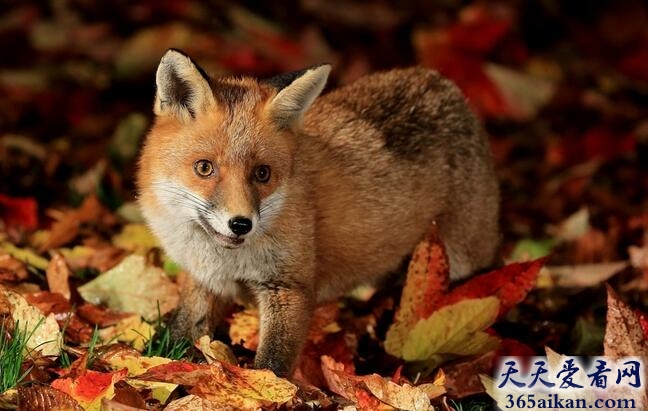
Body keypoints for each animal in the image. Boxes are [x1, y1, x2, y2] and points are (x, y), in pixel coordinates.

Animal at [137, 50, 502, 378]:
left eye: (262, 174)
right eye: (204, 168)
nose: (241, 224)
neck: (226, 259)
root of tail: (443, 84)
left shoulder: (289, 287)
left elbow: (273, 365)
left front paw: (268, 392)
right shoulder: (203, 280)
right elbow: (180, 332)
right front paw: (157, 363)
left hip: (462, 263)